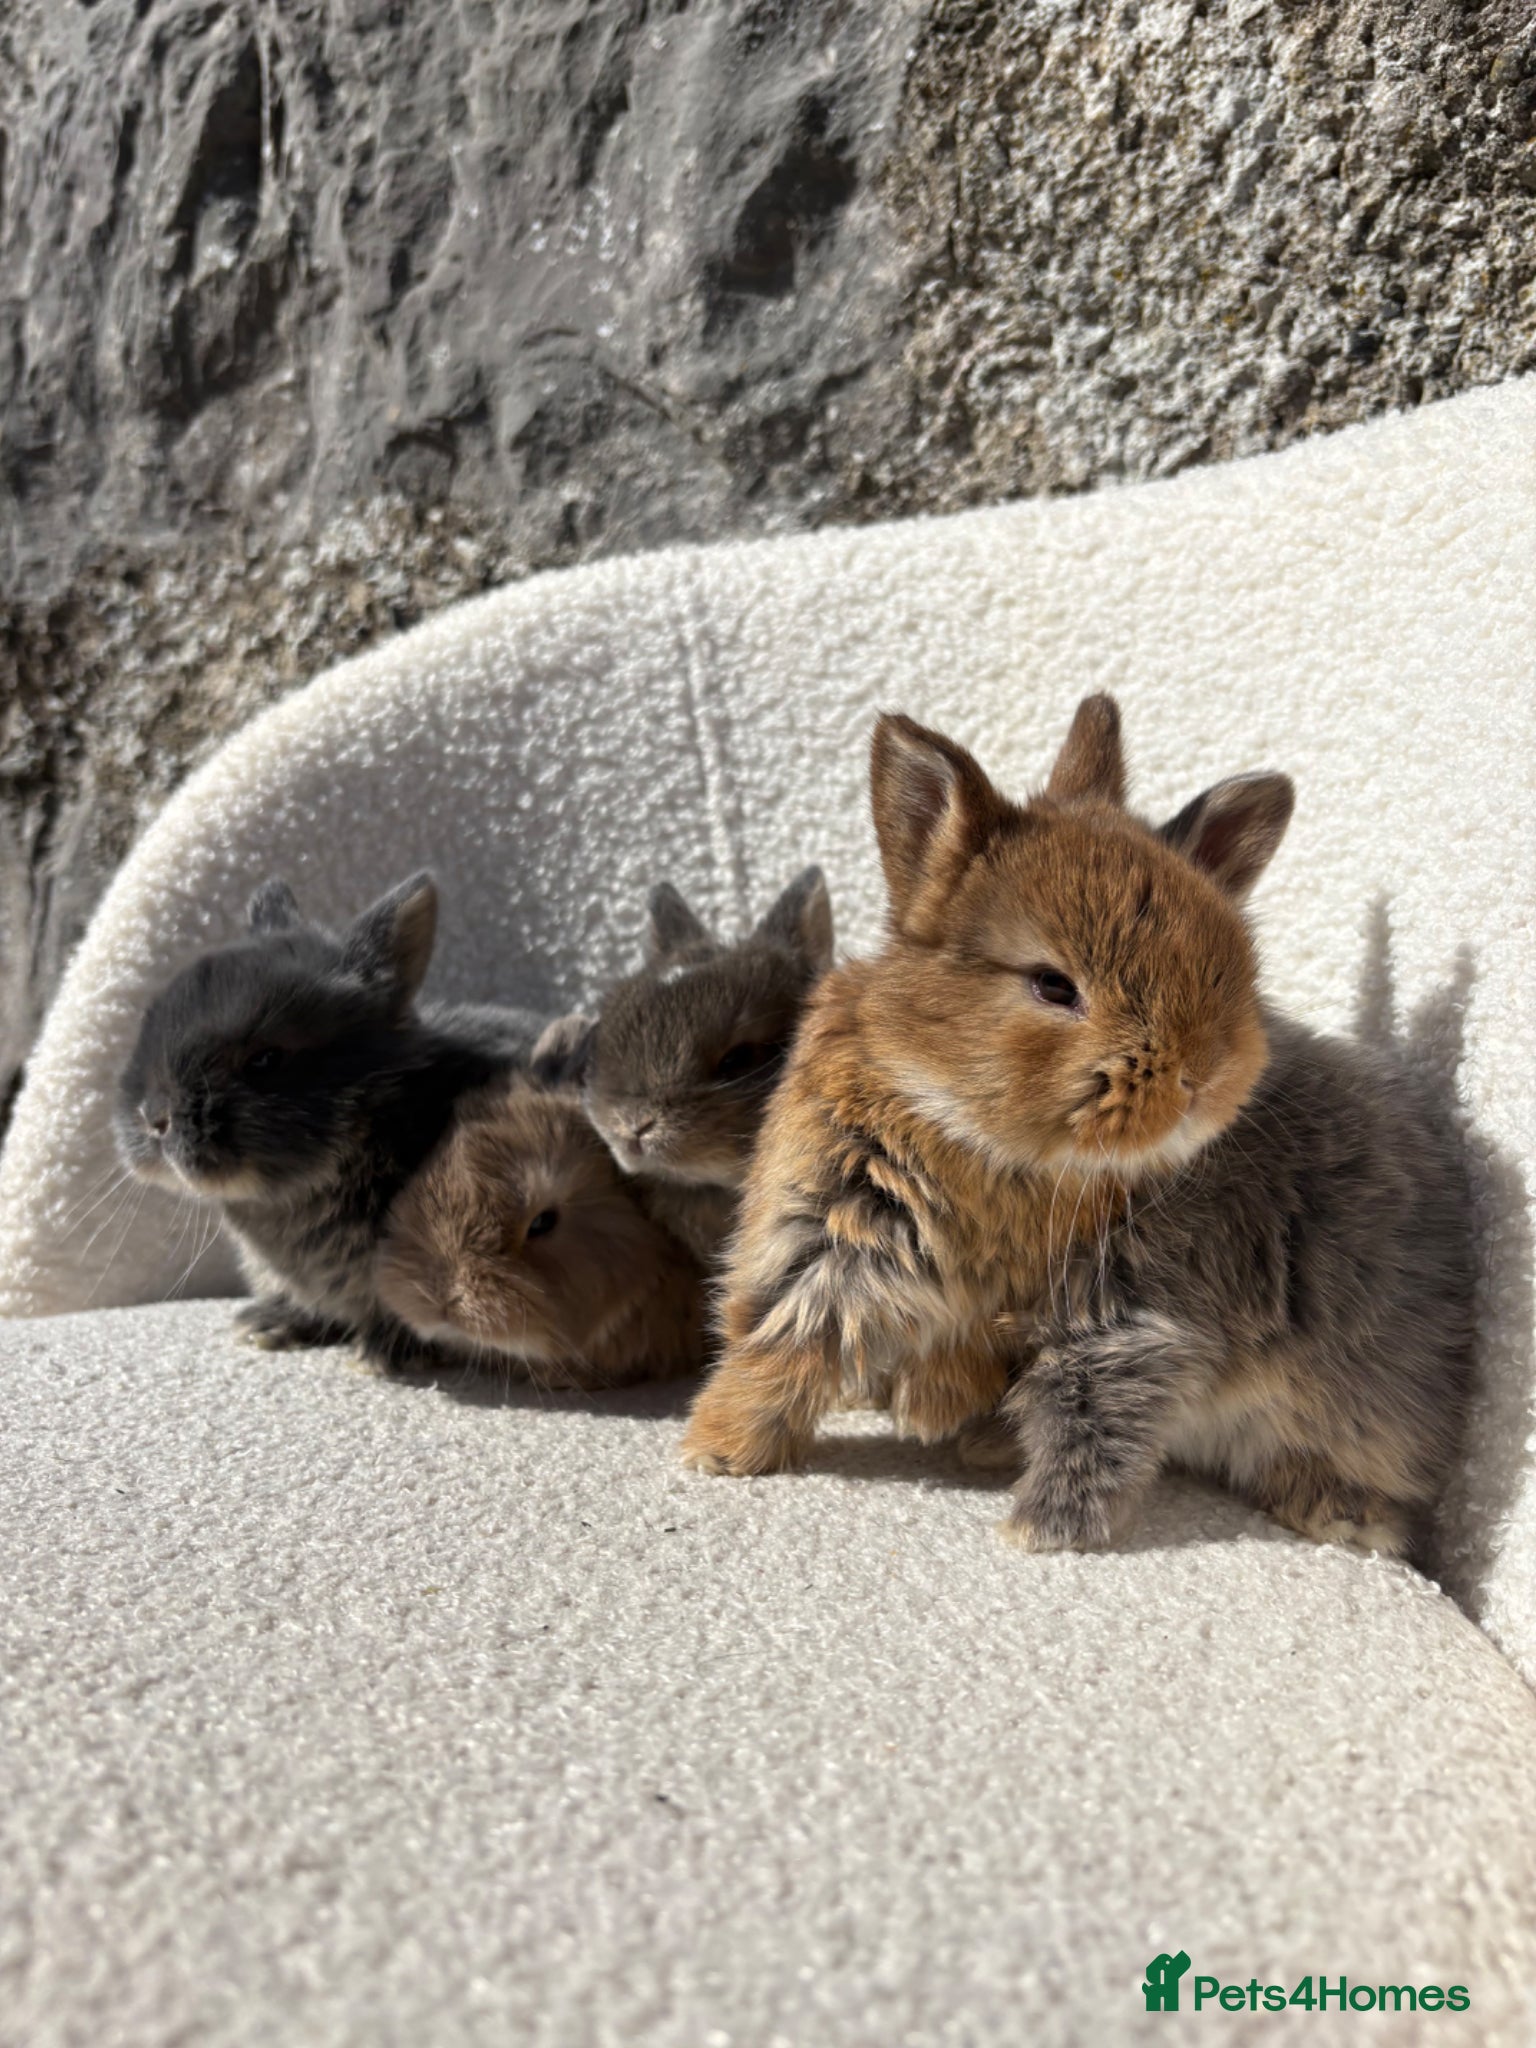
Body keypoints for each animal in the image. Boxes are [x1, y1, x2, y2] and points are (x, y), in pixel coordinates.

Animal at [681, 695, 1474, 1563]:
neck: (980, 1138)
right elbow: (781, 1342)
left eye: (1230, 967)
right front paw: (717, 1451)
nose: (1202, 1076)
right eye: (1053, 986)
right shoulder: (827, 1234)